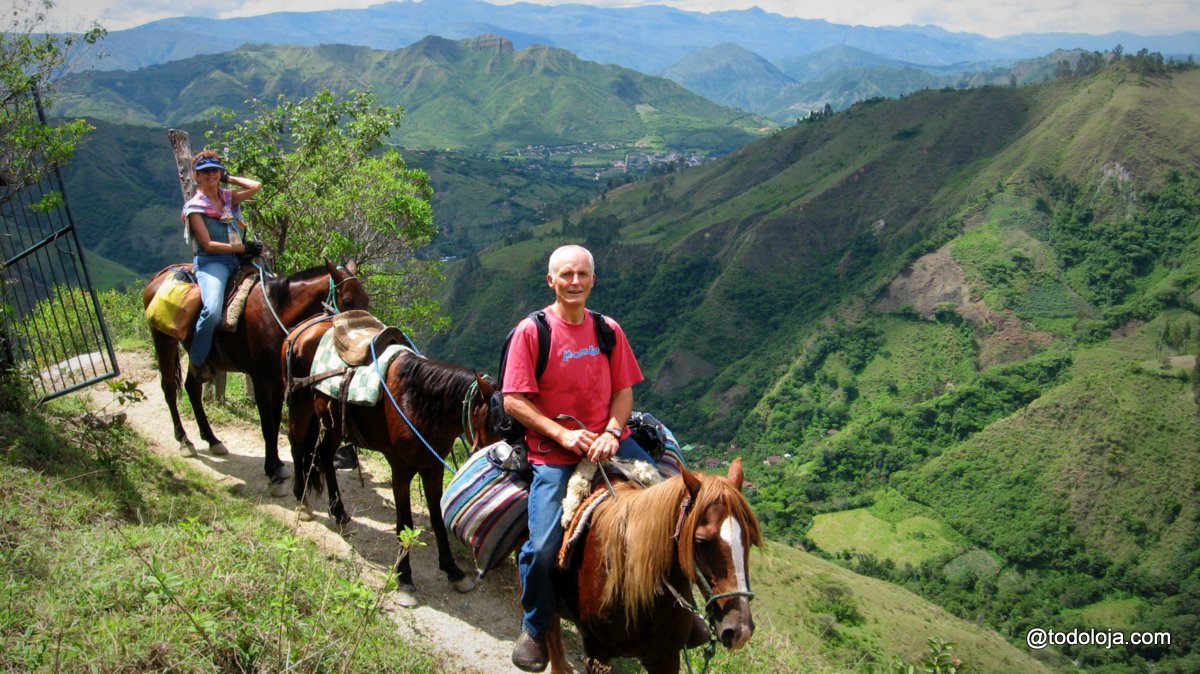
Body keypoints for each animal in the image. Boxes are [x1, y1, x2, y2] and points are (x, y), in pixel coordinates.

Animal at [141, 257, 364, 486]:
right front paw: (272, 470)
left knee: (192, 388)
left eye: (366, 300)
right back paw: (184, 441)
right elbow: (267, 426)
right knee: (169, 388)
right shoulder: (261, 381)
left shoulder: (278, 383)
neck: (276, 314)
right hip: (164, 341)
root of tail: (159, 276)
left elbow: (274, 423)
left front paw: (277, 464)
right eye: (347, 301)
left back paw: (212, 440)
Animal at [280, 316, 496, 606]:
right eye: (497, 426)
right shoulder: (401, 470)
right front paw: (405, 579)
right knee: (297, 446)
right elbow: (405, 523)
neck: (416, 403)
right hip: (301, 407)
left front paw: (453, 571)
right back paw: (301, 503)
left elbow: (437, 518)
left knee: (324, 455)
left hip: (334, 424)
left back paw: (339, 514)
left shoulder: (433, 467)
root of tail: (303, 327)